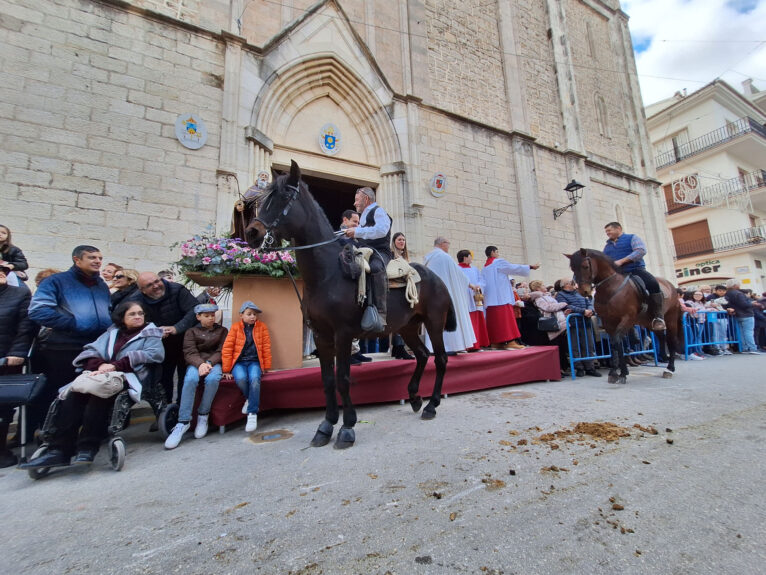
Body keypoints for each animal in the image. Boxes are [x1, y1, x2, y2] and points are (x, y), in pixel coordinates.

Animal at [246, 161, 456, 450]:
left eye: (285, 196)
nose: (251, 232)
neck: (327, 274)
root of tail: (435, 277)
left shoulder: (343, 334)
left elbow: (343, 379)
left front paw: (346, 427)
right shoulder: (322, 335)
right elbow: (327, 380)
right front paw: (325, 426)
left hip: (434, 322)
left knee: (442, 358)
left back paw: (432, 405)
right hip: (407, 327)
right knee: (423, 355)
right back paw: (414, 398)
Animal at [564, 246, 684, 382]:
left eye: (585, 266)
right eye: (572, 268)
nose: (583, 291)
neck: (610, 289)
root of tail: (671, 286)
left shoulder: (627, 319)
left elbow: (616, 342)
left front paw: (621, 373)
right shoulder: (608, 322)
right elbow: (615, 345)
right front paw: (616, 372)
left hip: (670, 319)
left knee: (671, 340)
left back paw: (669, 369)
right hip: (648, 322)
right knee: (661, 337)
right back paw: (663, 357)